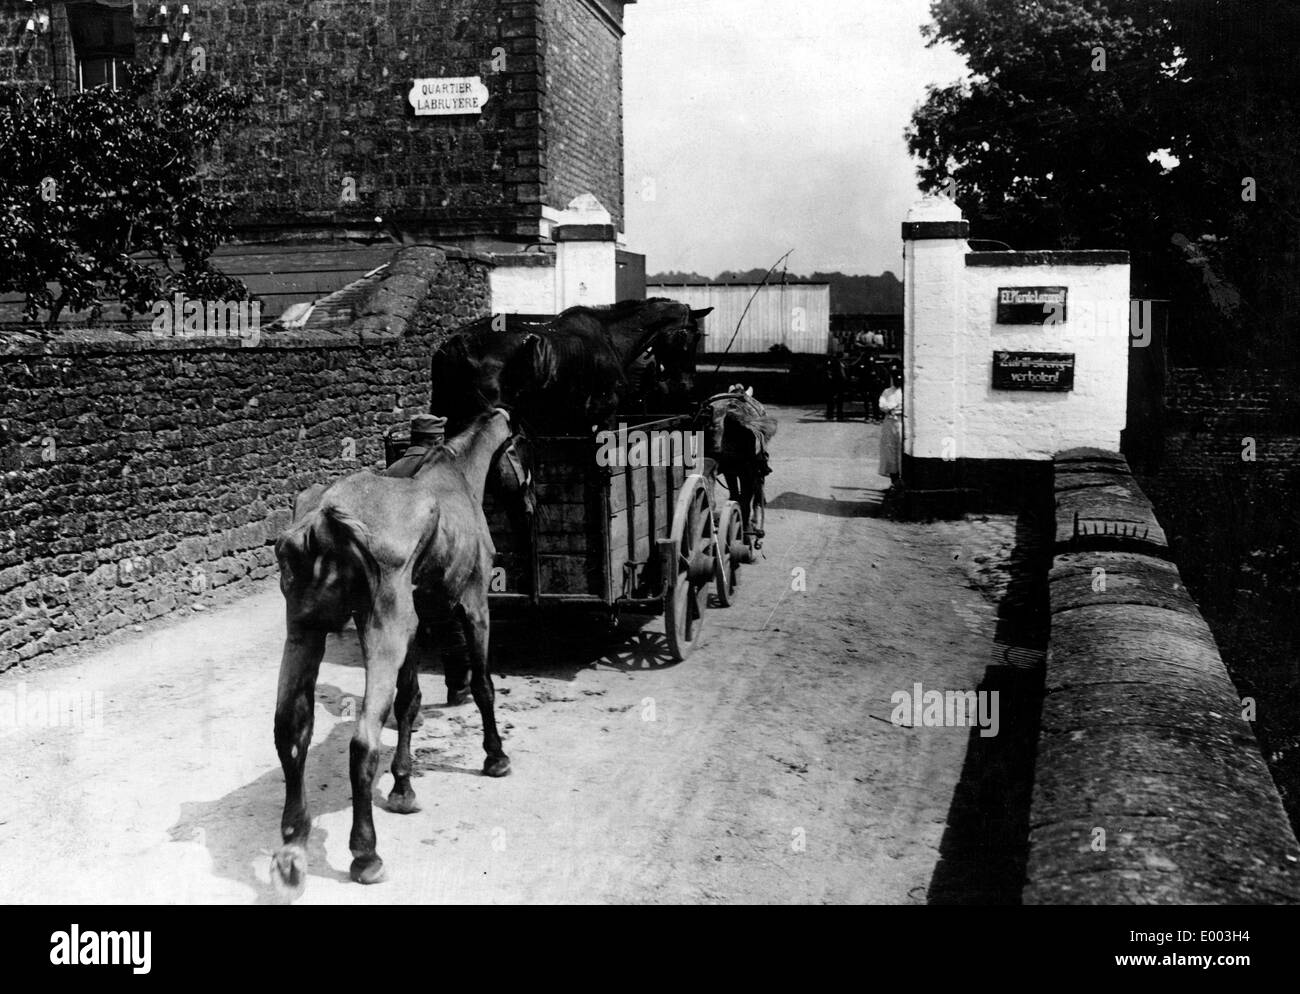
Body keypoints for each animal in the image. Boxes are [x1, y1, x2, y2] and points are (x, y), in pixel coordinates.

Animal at [269, 407, 512, 893]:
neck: (456, 476)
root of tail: (323, 519)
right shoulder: (474, 605)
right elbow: (483, 686)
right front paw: (495, 756)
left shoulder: (414, 627)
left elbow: (409, 701)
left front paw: (403, 786)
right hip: (382, 633)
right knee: (363, 740)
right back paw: (366, 854)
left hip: (306, 632)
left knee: (289, 730)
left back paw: (293, 844)